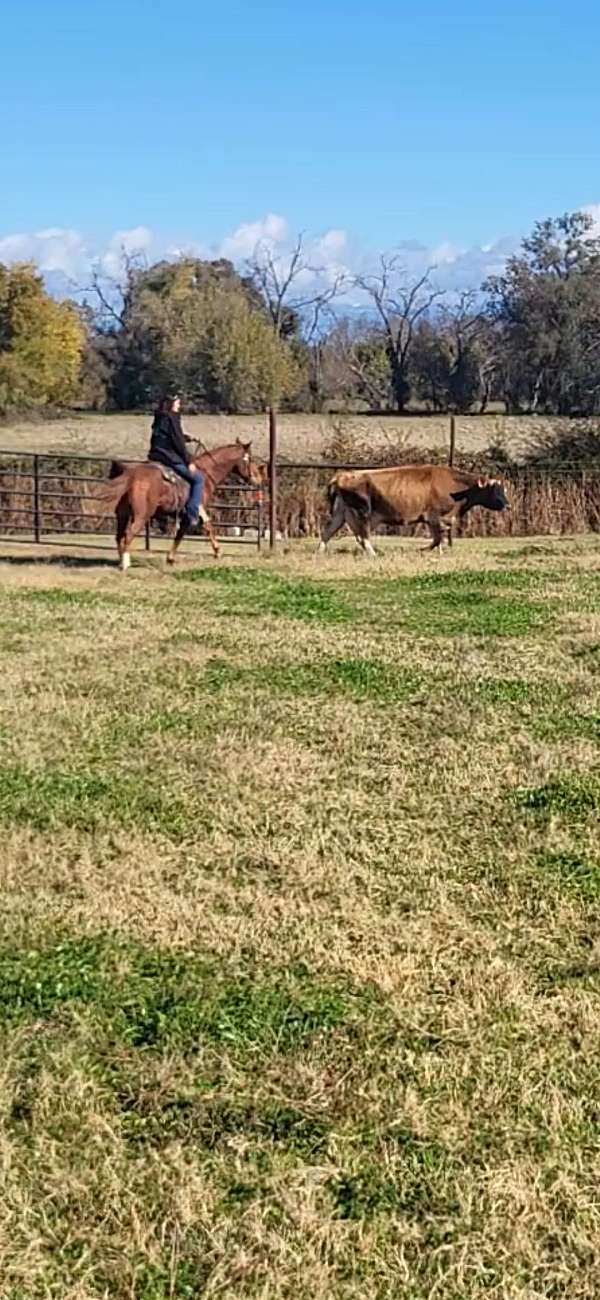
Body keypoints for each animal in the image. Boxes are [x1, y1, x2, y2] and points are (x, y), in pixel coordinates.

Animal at [94, 441, 261, 569]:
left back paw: (120, 560)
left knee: (119, 536)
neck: (206, 474)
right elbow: (200, 528)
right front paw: (218, 552)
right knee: (128, 534)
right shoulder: (194, 510)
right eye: (251, 459)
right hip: (141, 515)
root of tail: (132, 475)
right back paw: (125, 564)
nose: (258, 479)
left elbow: (186, 532)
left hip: (122, 515)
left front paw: (171, 558)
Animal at [316, 460, 509, 556]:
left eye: (503, 490)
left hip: (341, 514)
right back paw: (374, 554)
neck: (457, 488)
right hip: (362, 513)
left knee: (327, 533)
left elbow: (440, 538)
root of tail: (341, 476)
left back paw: (320, 553)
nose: (507, 504)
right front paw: (422, 550)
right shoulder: (433, 517)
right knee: (363, 537)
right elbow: (437, 539)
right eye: (494, 490)